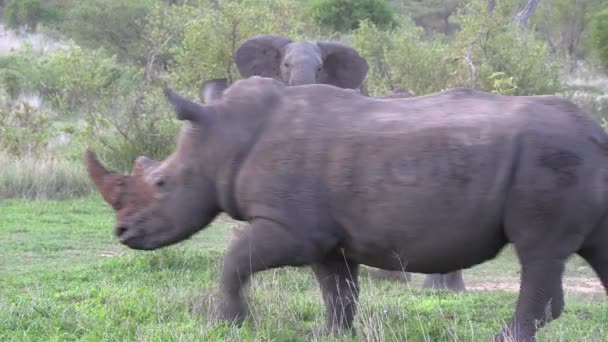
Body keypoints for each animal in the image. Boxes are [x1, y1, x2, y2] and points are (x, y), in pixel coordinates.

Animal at [88, 77, 604, 342]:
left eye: (161, 184)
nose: (122, 233)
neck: (225, 136)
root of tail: (595, 131)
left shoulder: (292, 227)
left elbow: (234, 260)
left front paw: (227, 323)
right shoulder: (326, 235)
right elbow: (337, 288)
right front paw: (329, 333)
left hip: (549, 158)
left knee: (538, 250)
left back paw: (505, 337)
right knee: (594, 249)